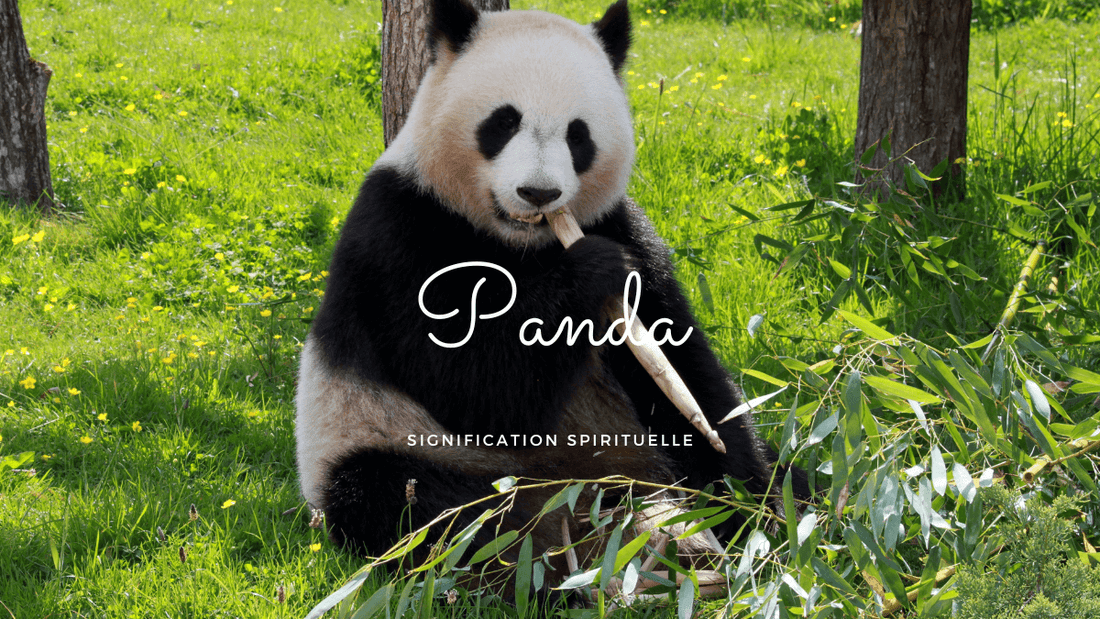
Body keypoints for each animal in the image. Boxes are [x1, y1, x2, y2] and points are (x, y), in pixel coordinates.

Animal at [296, 0, 806, 581]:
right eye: (503, 122)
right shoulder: (401, 231)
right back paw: (540, 567)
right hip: (385, 441)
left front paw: (748, 503)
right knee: (413, 507)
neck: (522, 243)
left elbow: (683, 372)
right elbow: (477, 389)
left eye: (577, 135)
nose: (538, 192)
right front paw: (590, 271)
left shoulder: (620, 224)